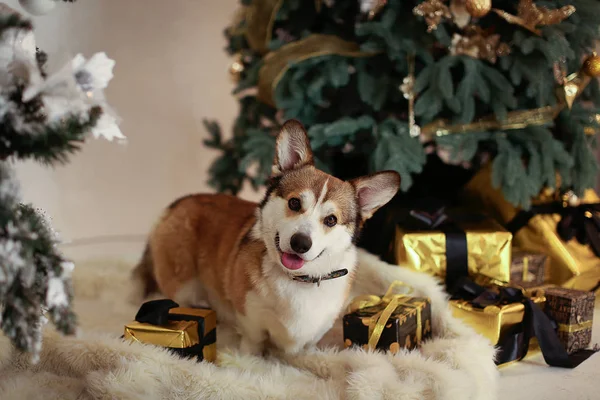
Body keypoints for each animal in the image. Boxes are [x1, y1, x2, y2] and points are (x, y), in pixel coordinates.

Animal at [134, 120, 400, 354]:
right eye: (294, 203)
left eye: (331, 220)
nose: (300, 243)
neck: (299, 280)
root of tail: (176, 203)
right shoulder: (250, 317)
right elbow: (253, 341)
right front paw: (250, 358)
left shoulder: (318, 328)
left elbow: (307, 347)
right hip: (183, 284)